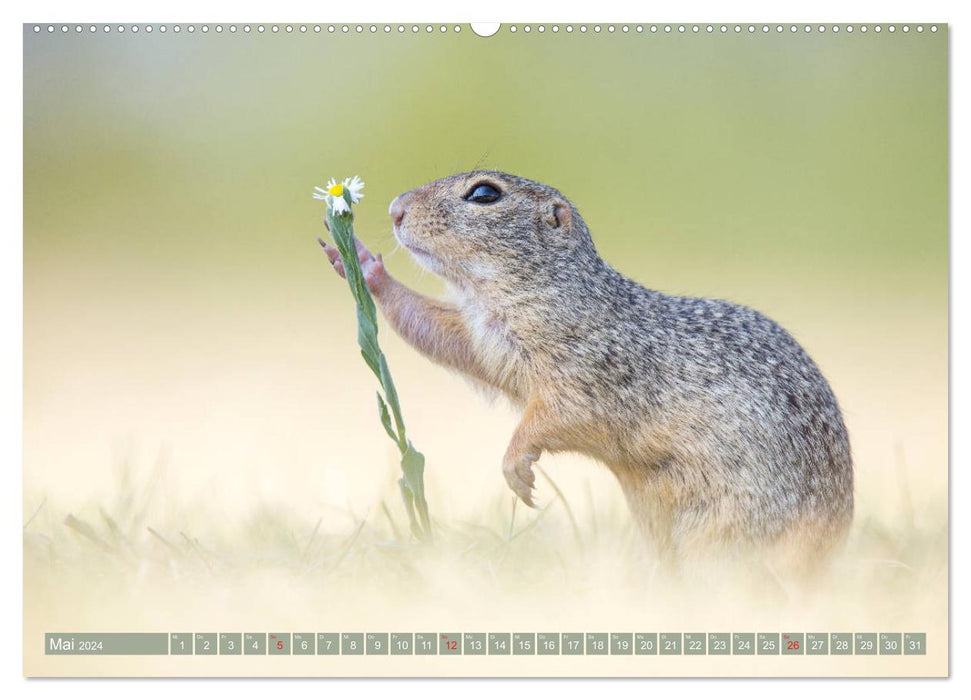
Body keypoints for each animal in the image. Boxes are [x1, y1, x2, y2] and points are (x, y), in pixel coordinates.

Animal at [318, 171, 852, 568]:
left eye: (485, 193)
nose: (395, 209)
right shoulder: (483, 338)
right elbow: (441, 333)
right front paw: (362, 263)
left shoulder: (591, 369)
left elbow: (558, 416)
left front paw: (516, 467)